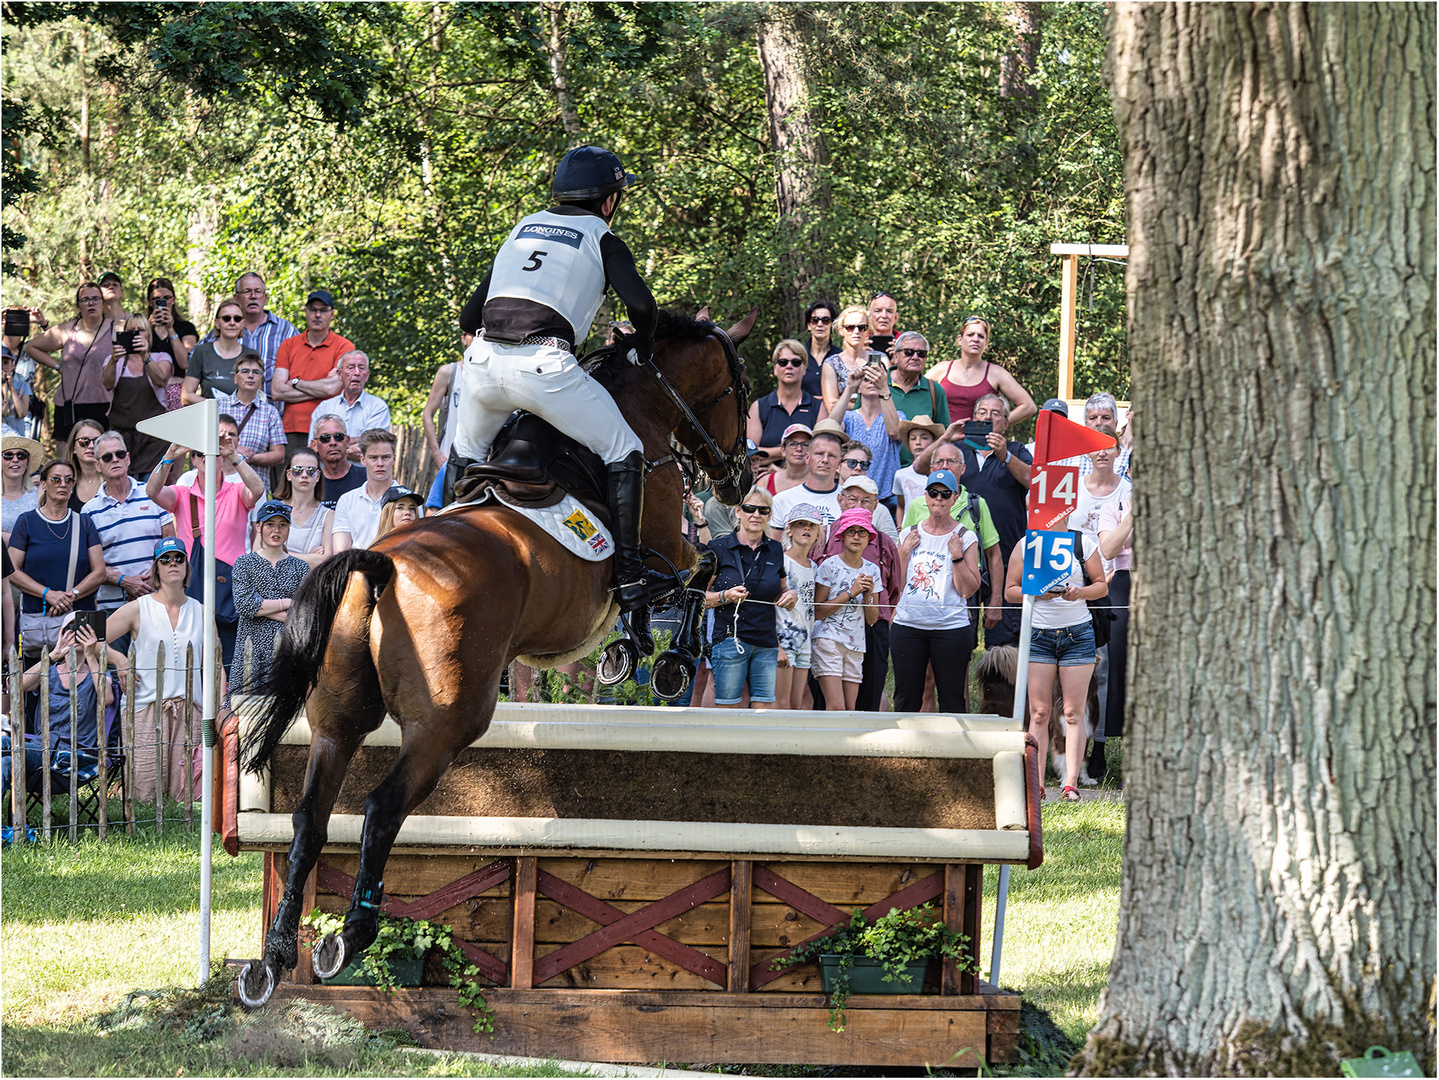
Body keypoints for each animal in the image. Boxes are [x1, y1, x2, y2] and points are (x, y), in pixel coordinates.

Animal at [231, 307, 754, 1012]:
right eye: (740, 389)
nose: (740, 478)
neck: (640, 407)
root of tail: (381, 562)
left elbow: (690, 578)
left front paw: (633, 649)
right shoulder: (666, 543)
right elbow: (702, 570)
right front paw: (658, 656)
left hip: (337, 722)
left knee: (311, 818)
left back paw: (275, 957)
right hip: (447, 723)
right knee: (381, 806)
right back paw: (354, 932)